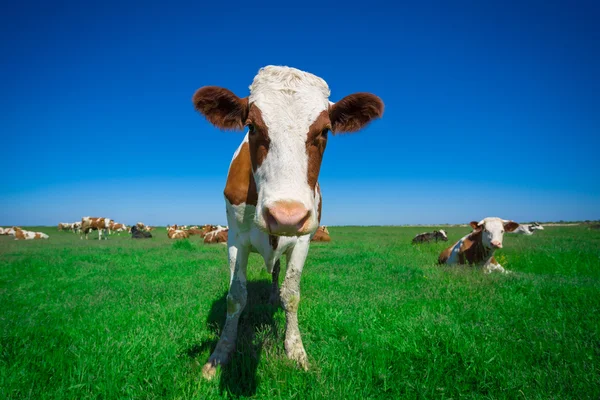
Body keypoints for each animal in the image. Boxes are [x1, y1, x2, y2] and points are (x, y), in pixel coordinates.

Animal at [192, 64, 384, 376]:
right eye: (252, 126)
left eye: (325, 131)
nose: (286, 215)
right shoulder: (234, 239)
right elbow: (236, 296)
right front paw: (220, 353)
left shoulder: (304, 239)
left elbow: (291, 294)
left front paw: (295, 349)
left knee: (276, 272)